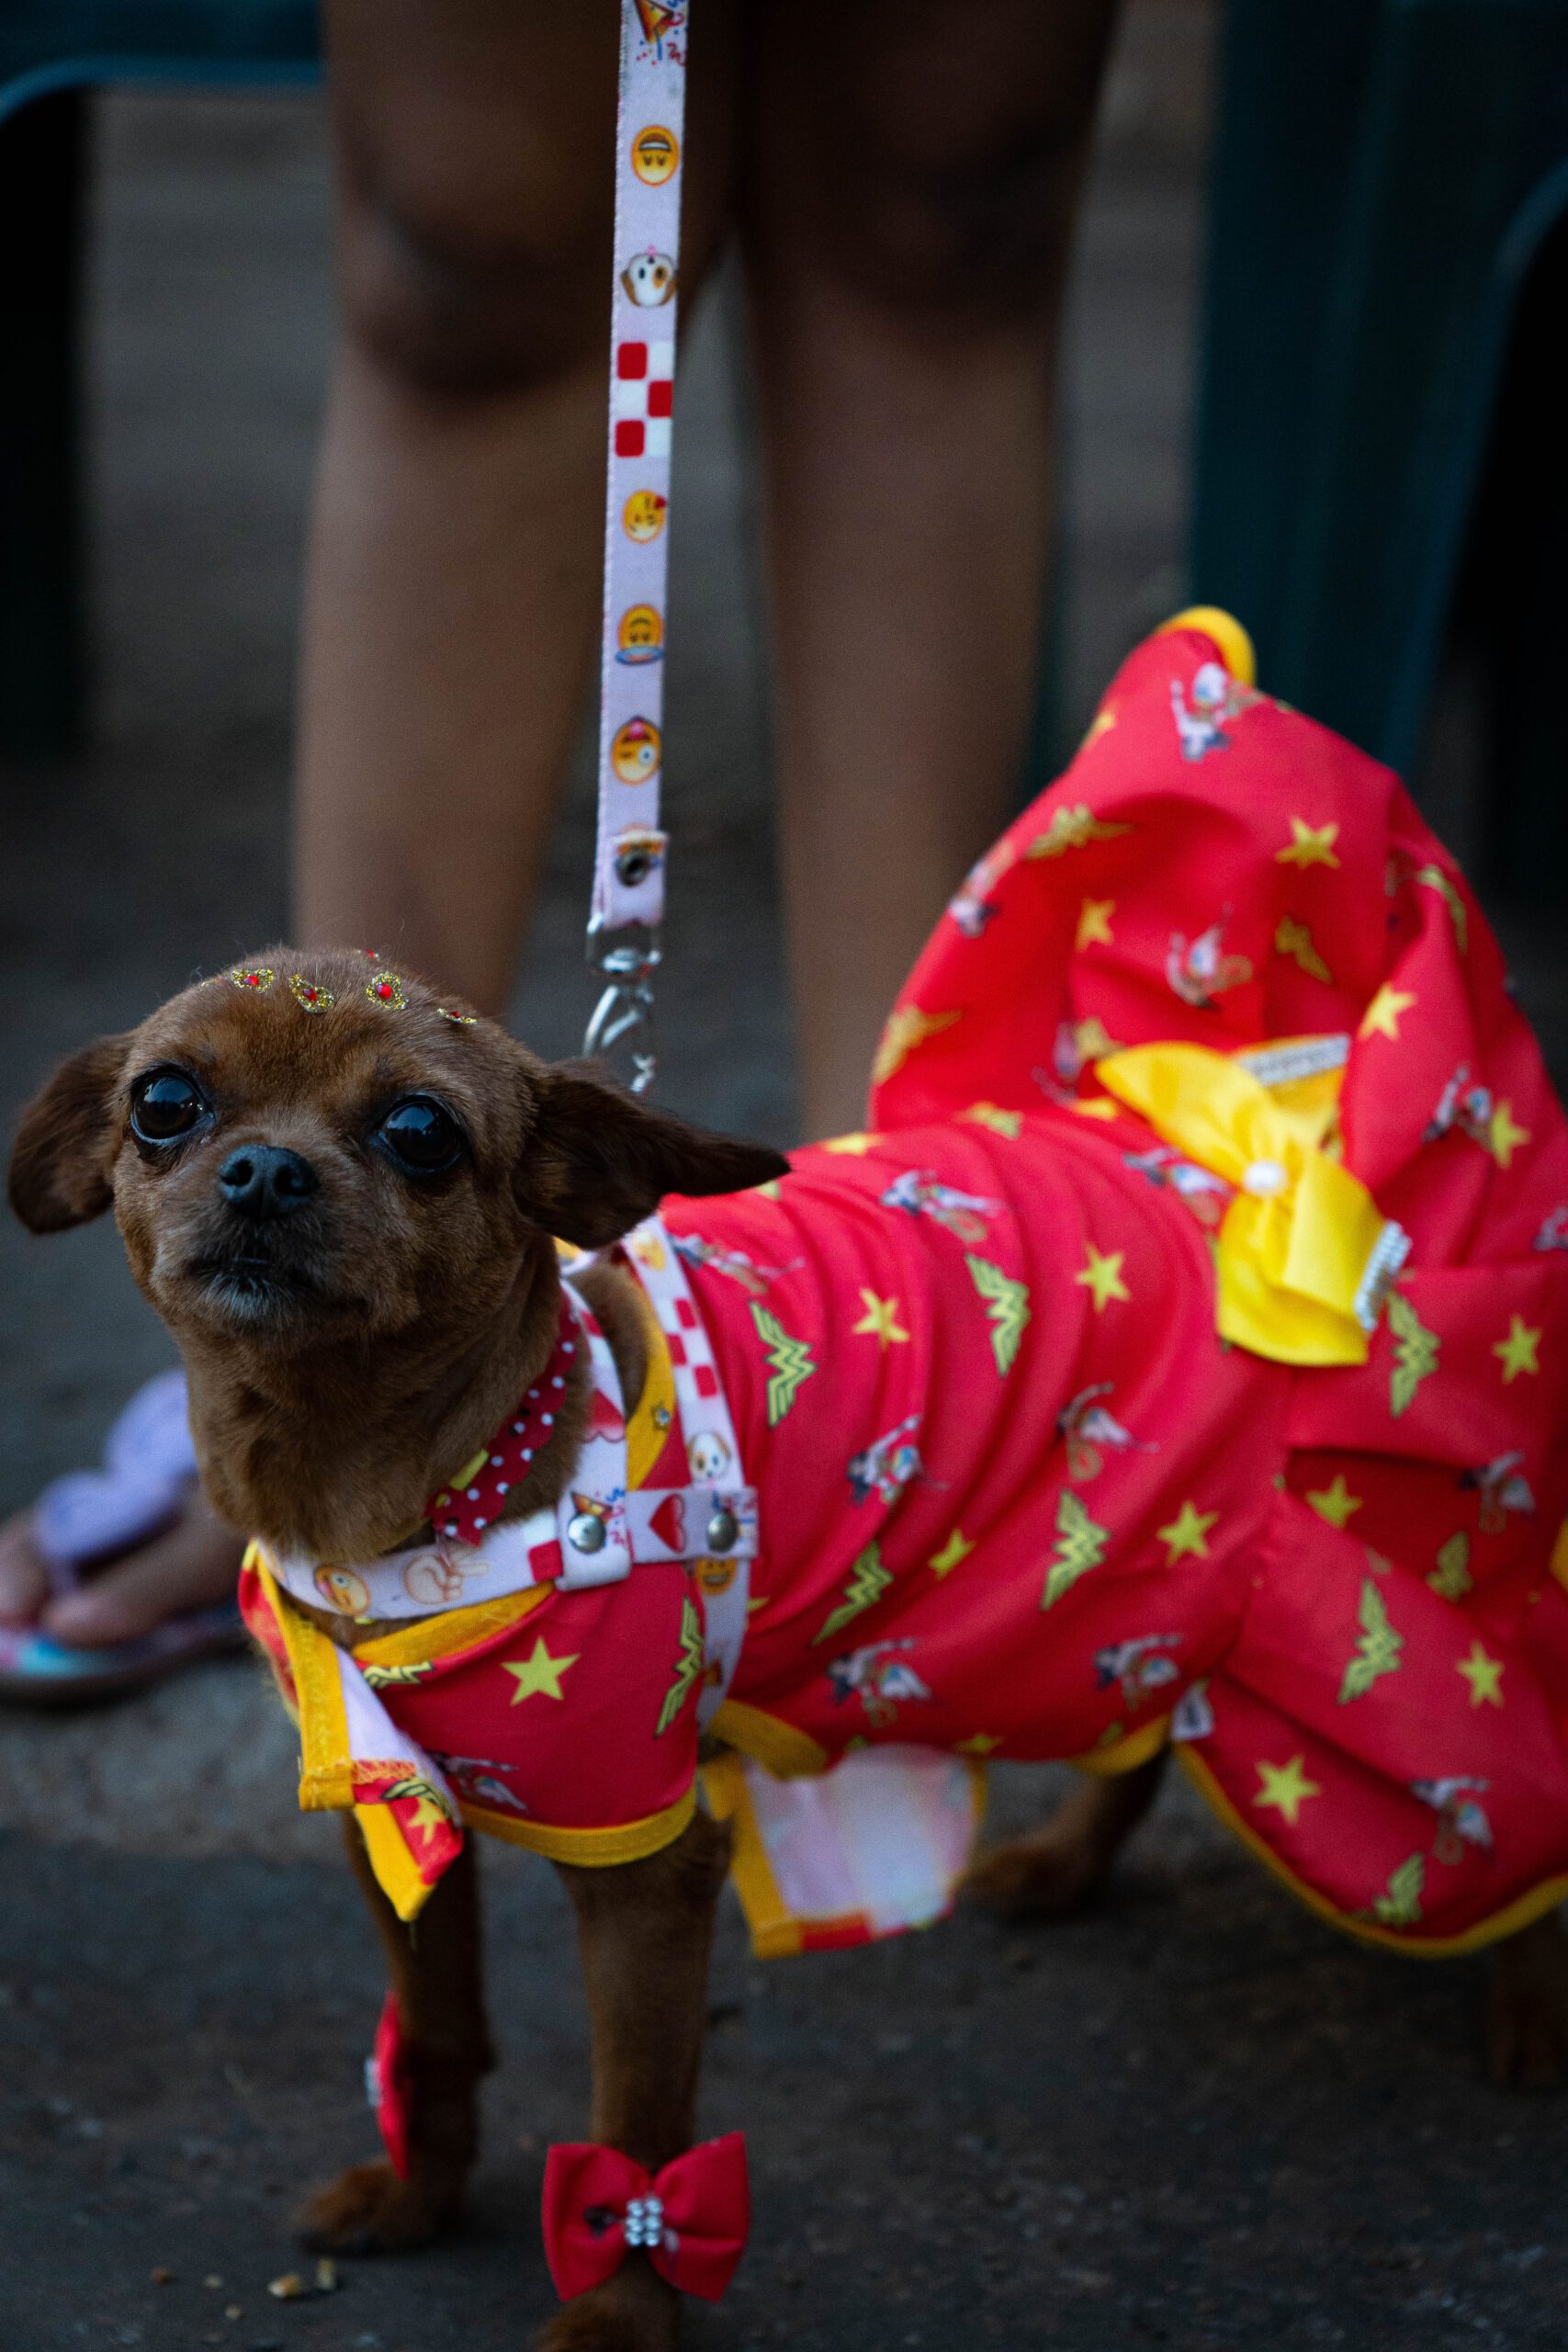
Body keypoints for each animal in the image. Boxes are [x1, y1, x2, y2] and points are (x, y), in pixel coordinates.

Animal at [13, 616, 1568, 2350]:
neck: (418, 1486)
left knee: (1512, 1776)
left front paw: (621, 2312)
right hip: (1142, 1582)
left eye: (419, 1134)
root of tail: (1238, 1163)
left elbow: (635, 2122)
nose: (263, 1172)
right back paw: (1070, 1864)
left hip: (1406, 1573)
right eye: (165, 1103)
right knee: (1156, 1715)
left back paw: (1528, 2004)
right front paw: (416, 2192)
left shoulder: (647, 1868)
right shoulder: (389, 1824)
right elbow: (438, 2025)